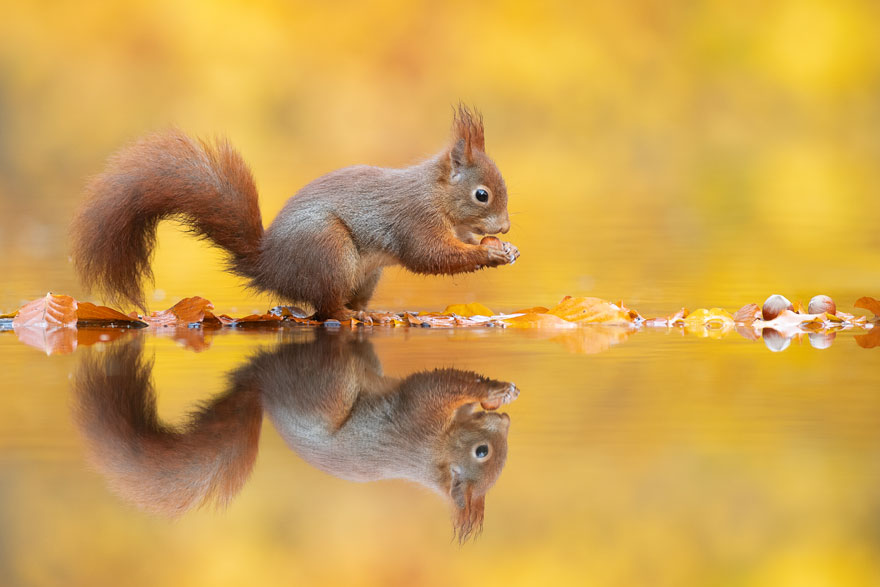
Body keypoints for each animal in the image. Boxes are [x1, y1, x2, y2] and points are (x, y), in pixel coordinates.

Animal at [71, 106, 519, 319]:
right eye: (482, 195)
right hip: (328, 251)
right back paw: (352, 317)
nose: (505, 227)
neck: (436, 193)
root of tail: (270, 266)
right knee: (325, 307)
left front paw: (502, 248)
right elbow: (430, 256)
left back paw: (374, 313)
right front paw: (489, 251)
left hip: (365, 274)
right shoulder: (416, 218)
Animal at [74, 330, 519, 541]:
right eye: (482, 452)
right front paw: (492, 391)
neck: (434, 456)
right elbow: (444, 382)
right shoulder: (422, 416)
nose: (506, 424)